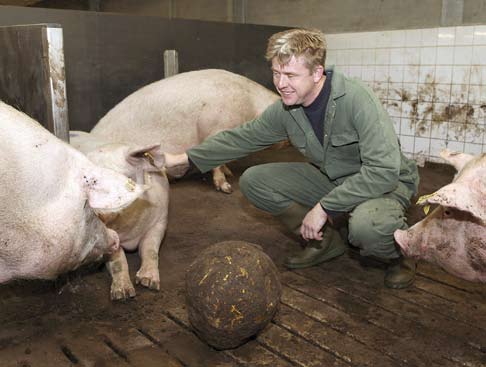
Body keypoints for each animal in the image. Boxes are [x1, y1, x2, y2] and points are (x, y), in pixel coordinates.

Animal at [67, 131, 168, 300]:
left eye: (125, 180)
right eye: (91, 183)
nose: (98, 212)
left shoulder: (160, 221)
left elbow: (151, 250)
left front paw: (149, 283)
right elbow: (118, 260)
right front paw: (123, 295)